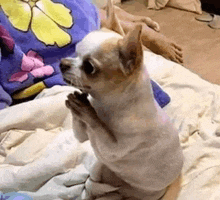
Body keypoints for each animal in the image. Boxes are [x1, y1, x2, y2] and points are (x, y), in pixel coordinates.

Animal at [61, 0, 183, 199]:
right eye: (74, 52)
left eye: (89, 67)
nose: (62, 64)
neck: (106, 105)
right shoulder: (83, 136)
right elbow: (80, 130)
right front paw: (76, 102)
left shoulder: (113, 148)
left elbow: (98, 126)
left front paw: (86, 111)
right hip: (99, 167)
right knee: (91, 184)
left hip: (136, 193)